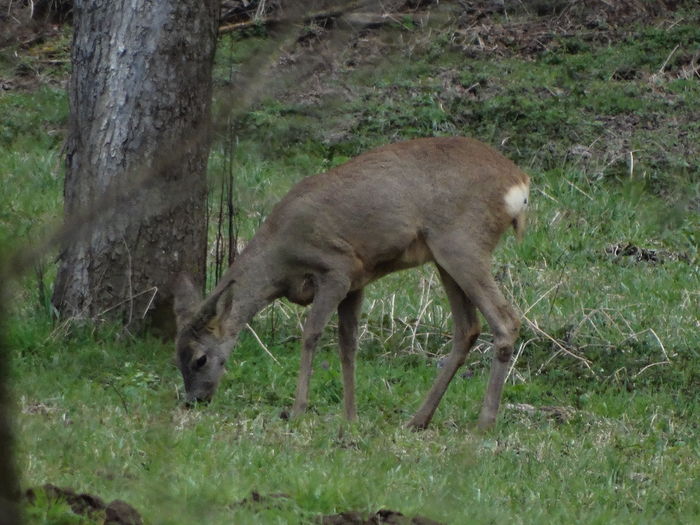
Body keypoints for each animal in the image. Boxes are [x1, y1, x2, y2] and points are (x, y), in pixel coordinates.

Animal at [175, 136, 532, 430]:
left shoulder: (337, 268)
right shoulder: (358, 279)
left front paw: (298, 410)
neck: (280, 258)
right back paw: (418, 419)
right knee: (467, 327)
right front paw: (350, 416)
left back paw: (483, 423)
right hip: (444, 256)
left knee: (506, 320)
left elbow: (311, 334)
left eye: (199, 359)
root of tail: (519, 183)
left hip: (462, 242)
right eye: (176, 358)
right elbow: (348, 345)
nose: (194, 400)